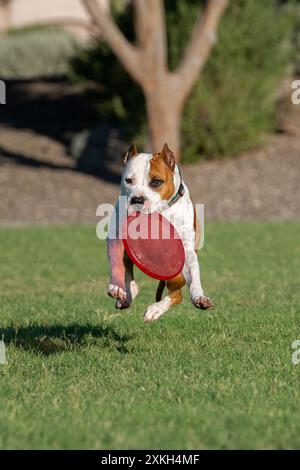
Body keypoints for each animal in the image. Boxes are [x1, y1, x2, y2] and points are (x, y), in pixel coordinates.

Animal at [106, 141, 212, 322]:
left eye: (156, 182)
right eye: (128, 180)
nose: (137, 199)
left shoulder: (186, 251)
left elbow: (194, 272)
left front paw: (199, 296)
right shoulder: (116, 237)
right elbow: (116, 261)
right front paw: (117, 287)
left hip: (175, 276)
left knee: (177, 295)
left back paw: (155, 309)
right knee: (132, 281)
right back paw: (126, 296)